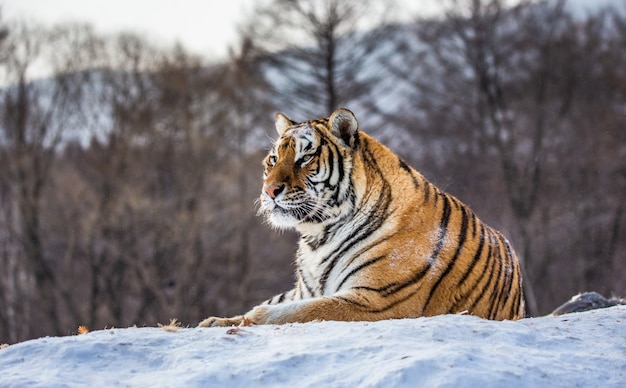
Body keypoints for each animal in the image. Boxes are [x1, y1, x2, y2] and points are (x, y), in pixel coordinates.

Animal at [199, 107, 520, 328]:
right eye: (273, 159)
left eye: (305, 158)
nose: (269, 190)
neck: (318, 236)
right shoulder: (305, 291)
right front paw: (217, 321)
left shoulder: (377, 300)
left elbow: (301, 312)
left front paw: (250, 318)